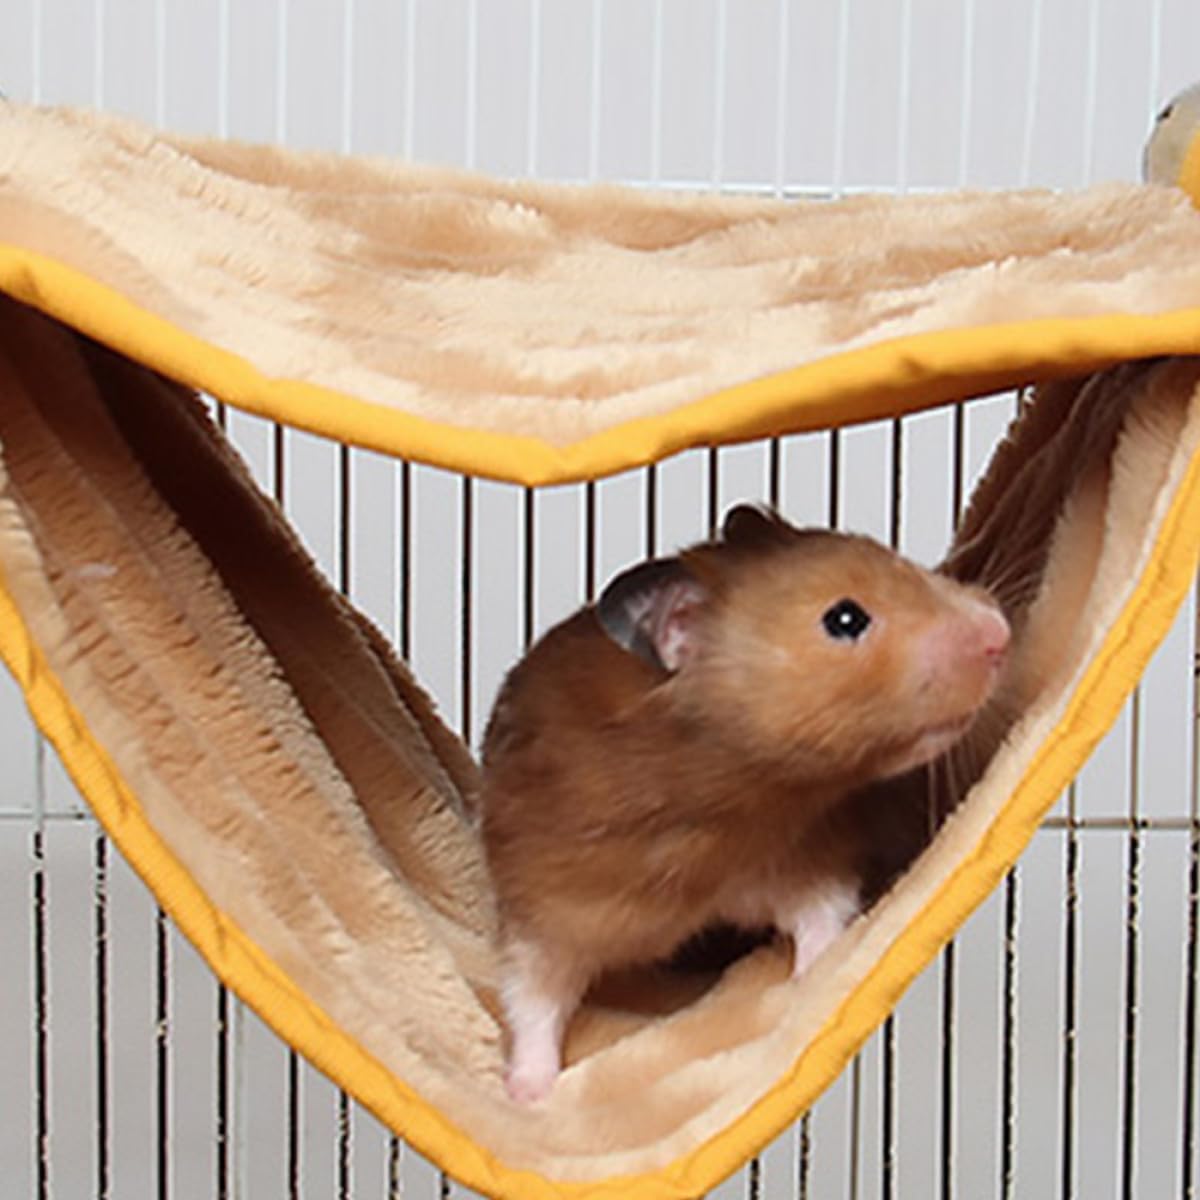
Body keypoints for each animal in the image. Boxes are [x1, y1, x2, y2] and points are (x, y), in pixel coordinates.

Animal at [480, 504, 1010, 1102]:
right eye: (845, 619)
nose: (1000, 632)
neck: (712, 807)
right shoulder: (542, 907)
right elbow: (533, 998)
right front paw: (526, 1096)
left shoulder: (799, 856)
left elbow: (821, 911)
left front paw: (815, 979)